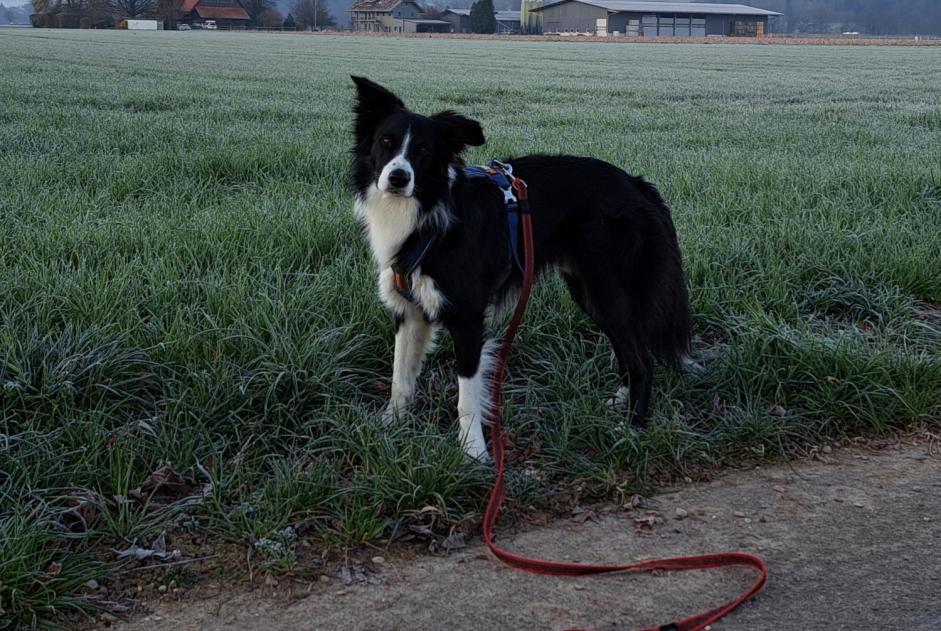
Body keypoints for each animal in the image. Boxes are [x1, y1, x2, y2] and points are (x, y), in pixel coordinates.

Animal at [352, 78, 692, 464]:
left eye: (423, 151)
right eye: (386, 142)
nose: (397, 178)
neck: (426, 213)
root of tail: (636, 184)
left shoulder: (468, 318)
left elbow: (467, 397)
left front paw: (474, 452)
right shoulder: (409, 312)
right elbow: (401, 378)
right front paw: (389, 426)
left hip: (609, 291)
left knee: (643, 361)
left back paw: (632, 430)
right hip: (590, 293)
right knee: (627, 352)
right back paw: (620, 402)